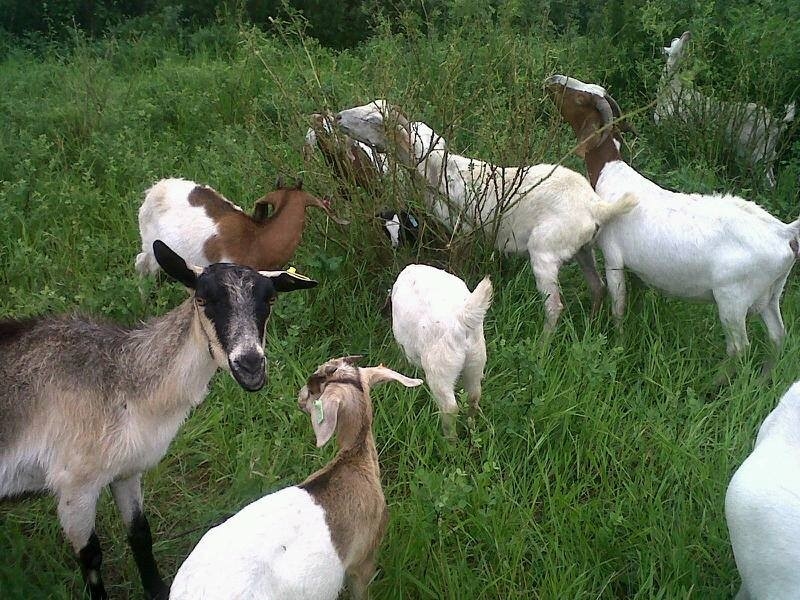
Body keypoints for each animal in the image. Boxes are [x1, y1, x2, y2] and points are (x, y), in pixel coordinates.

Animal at [0, 240, 317, 599]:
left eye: (270, 300)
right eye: (202, 299)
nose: (250, 364)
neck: (128, 385)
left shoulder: (126, 470)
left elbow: (140, 534)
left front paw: (157, 589)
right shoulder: (74, 484)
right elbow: (91, 557)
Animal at [336, 100, 638, 330]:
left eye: (374, 119)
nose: (338, 117)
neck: (437, 171)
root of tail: (595, 205)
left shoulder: (463, 232)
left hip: (545, 251)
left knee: (554, 307)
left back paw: (543, 347)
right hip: (581, 248)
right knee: (597, 287)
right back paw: (590, 326)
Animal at [390, 264, 492, 438]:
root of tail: (462, 319)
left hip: (440, 367)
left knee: (450, 407)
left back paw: (450, 440)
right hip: (476, 360)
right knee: (474, 396)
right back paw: (471, 432)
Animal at [546, 74, 800, 371]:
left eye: (579, 99)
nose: (553, 80)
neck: (612, 175)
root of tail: (784, 233)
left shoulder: (614, 259)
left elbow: (618, 307)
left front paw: (617, 343)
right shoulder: (637, 269)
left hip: (733, 300)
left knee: (739, 348)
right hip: (772, 294)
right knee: (778, 337)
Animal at [654, 30, 796, 188]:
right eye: (675, 43)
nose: (688, 34)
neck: (673, 89)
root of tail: (776, 123)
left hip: (758, 153)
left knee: (768, 181)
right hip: (768, 153)